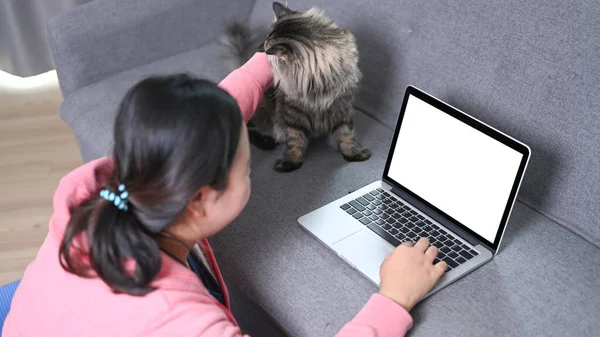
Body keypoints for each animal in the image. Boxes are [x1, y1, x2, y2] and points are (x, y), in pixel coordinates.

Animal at [220, 1, 370, 172]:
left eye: (266, 45)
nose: (259, 48)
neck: (318, 84)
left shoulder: (342, 107)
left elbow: (346, 135)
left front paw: (353, 153)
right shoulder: (293, 112)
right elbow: (295, 140)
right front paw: (291, 162)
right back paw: (265, 140)